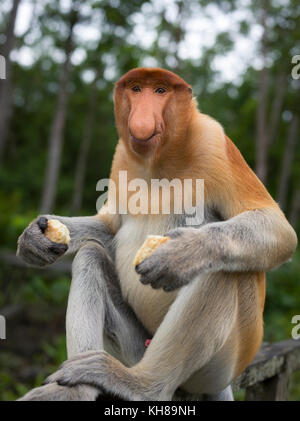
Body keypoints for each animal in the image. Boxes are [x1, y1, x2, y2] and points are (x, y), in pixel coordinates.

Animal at [17, 67, 296, 398]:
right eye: (137, 89)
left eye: (160, 91)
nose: (142, 116)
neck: (157, 162)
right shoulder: (121, 156)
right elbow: (110, 227)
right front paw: (34, 239)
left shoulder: (214, 143)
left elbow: (278, 227)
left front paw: (180, 254)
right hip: (138, 346)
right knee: (90, 256)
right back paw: (75, 389)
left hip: (219, 366)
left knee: (220, 273)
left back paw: (140, 385)